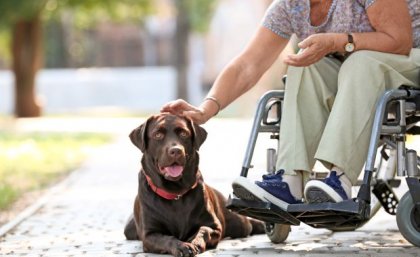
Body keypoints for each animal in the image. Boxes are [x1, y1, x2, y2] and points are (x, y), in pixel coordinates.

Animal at [123, 113, 264, 256]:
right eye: (157, 135)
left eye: (184, 134)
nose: (176, 151)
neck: (176, 193)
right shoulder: (149, 234)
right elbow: (167, 238)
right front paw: (182, 246)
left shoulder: (215, 226)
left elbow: (203, 230)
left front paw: (194, 241)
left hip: (239, 223)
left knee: (248, 224)